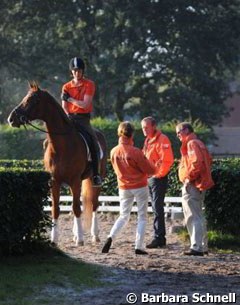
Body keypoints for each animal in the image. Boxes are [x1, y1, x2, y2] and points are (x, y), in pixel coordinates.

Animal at [7, 82, 107, 245]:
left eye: (31, 100)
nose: (11, 119)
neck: (62, 144)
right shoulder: (55, 181)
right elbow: (56, 208)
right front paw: (54, 239)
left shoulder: (74, 180)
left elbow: (76, 207)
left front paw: (80, 239)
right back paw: (76, 234)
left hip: (96, 179)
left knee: (94, 203)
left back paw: (95, 235)